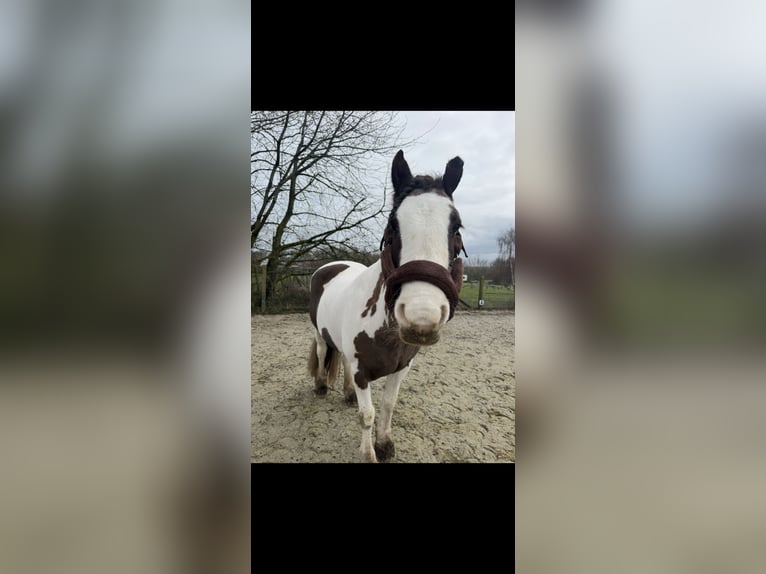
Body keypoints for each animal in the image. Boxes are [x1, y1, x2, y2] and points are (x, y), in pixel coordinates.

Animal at [307, 150, 467, 462]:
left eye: (456, 228)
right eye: (393, 225)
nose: (422, 317)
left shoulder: (401, 368)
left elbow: (388, 405)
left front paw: (385, 445)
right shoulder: (362, 373)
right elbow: (366, 415)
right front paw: (369, 454)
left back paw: (346, 394)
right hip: (320, 334)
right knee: (321, 352)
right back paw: (320, 386)